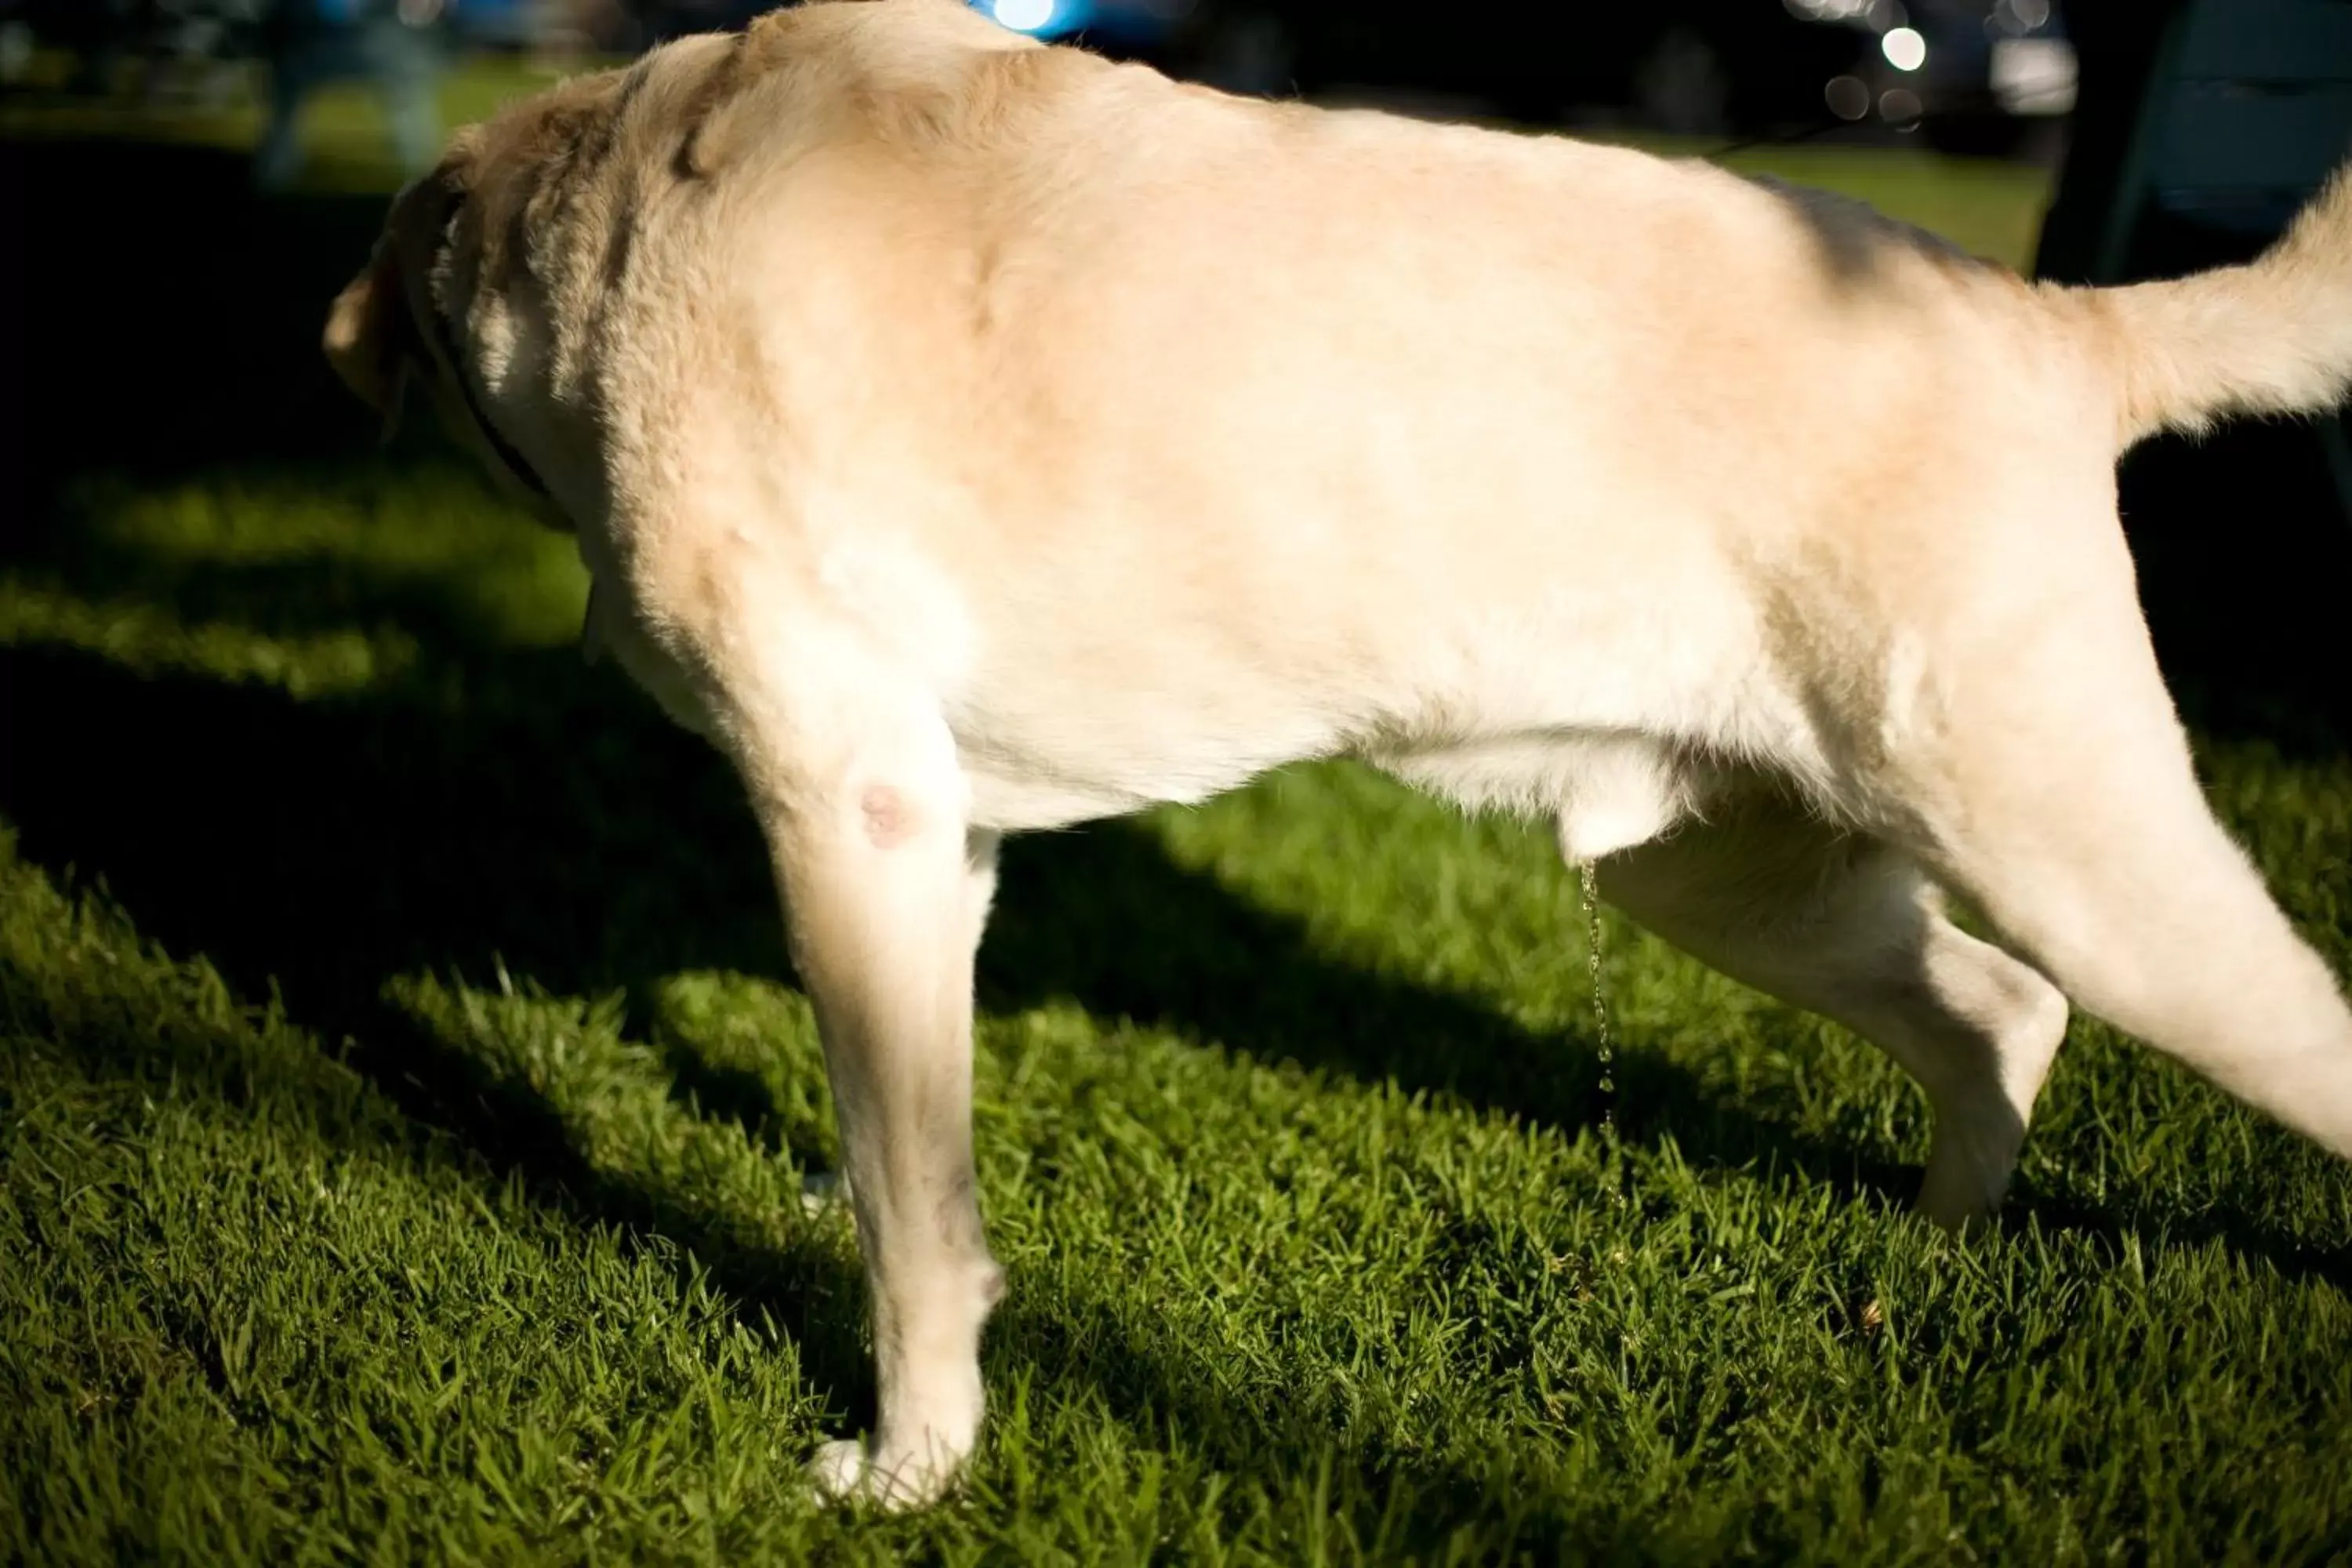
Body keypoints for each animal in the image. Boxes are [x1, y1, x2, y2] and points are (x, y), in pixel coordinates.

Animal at [327, 0, 2352, 1504]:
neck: (610, 215)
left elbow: (915, 1209)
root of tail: (2045, 322)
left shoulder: (852, 798)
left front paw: (909, 1466)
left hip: (2074, 852)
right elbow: (901, 1115)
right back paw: (1932, 1257)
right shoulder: (933, 840)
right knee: (2003, 1007)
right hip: (1719, 872)